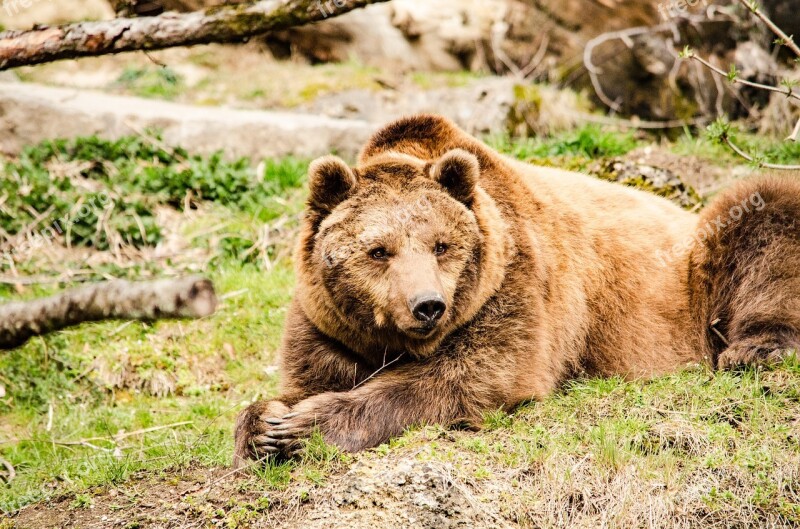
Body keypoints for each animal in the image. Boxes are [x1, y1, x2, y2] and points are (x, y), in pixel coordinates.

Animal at [231, 113, 800, 464]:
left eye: (441, 245)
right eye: (379, 250)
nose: (427, 306)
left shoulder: (516, 289)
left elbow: (472, 377)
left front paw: (304, 427)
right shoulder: (327, 324)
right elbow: (304, 376)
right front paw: (266, 424)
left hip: (695, 271)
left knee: (766, 213)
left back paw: (756, 348)